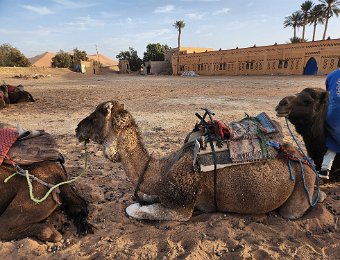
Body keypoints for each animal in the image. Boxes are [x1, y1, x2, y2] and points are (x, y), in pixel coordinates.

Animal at [75, 101, 320, 221]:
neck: (161, 170)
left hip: (300, 189)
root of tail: (303, 160)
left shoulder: (182, 209)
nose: (77, 129)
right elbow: (145, 196)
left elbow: (134, 209)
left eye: (95, 116)